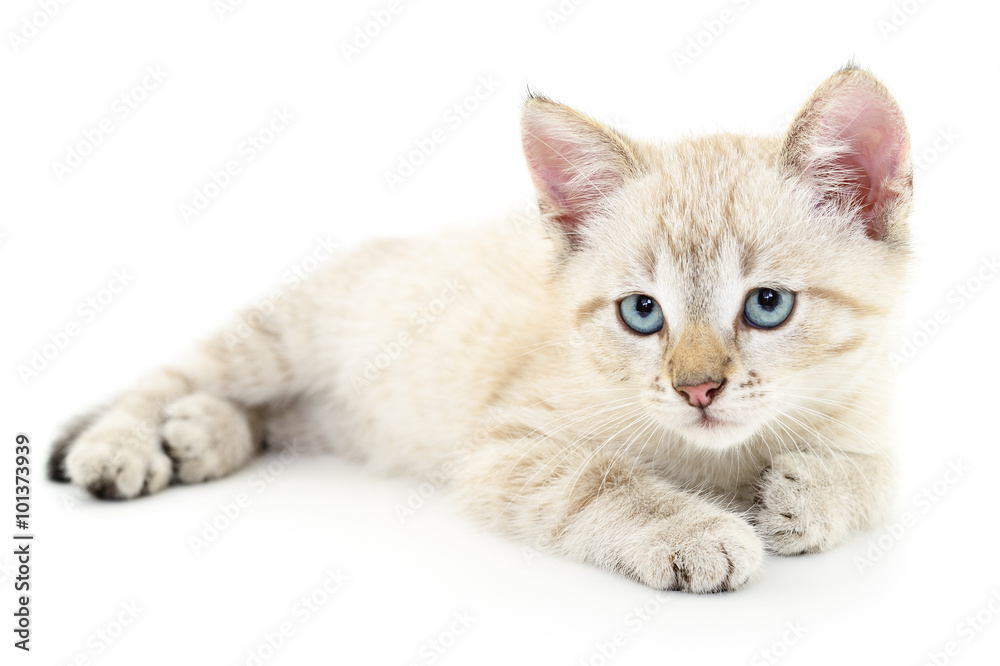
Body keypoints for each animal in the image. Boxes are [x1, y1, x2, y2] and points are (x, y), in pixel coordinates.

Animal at [52, 65, 916, 588]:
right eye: (642, 313)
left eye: (767, 305)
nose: (697, 389)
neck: (723, 458)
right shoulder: (507, 446)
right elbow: (602, 480)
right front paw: (696, 531)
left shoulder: (873, 410)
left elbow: (880, 476)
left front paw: (808, 495)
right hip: (279, 338)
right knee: (168, 378)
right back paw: (122, 447)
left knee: (265, 418)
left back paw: (198, 435)